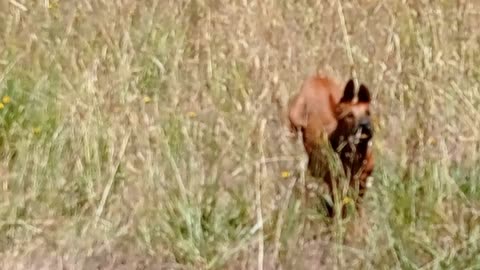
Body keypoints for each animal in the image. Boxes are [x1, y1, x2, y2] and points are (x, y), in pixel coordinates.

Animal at [288, 74, 376, 217]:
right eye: (350, 115)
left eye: (368, 112)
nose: (365, 126)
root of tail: (318, 77)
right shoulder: (336, 182)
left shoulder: (362, 180)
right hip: (295, 119)